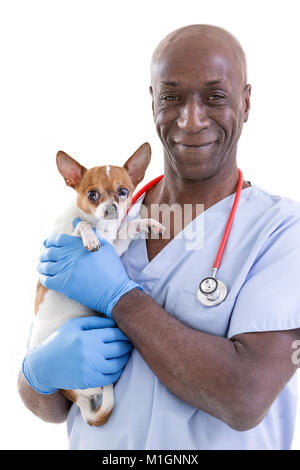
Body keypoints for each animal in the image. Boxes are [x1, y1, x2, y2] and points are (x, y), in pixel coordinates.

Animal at [31, 143, 164, 426]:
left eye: (123, 191)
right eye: (92, 194)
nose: (111, 208)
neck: (102, 227)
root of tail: (72, 396)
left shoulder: (115, 246)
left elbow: (128, 229)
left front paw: (147, 223)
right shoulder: (66, 236)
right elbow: (81, 224)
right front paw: (90, 237)